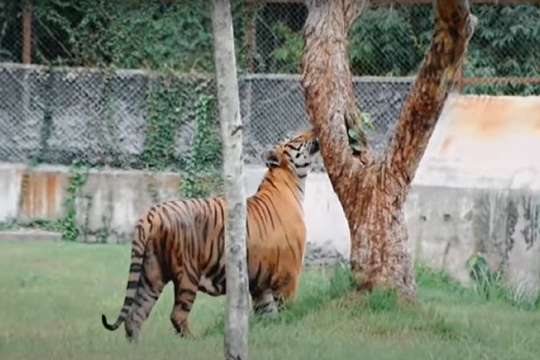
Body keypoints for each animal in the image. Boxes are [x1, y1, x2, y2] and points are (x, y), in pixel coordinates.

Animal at [100, 129, 318, 340]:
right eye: (297, 138)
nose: (315, 130)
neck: (292, 183)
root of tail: (151, 214)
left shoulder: (260, 283)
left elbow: (267, 313)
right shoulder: (288, 275)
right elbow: (285, 309)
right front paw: (287, 329)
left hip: (151, 273)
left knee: (135, 316)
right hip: (187, 275)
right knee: (177, 315)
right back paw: (194, 341)